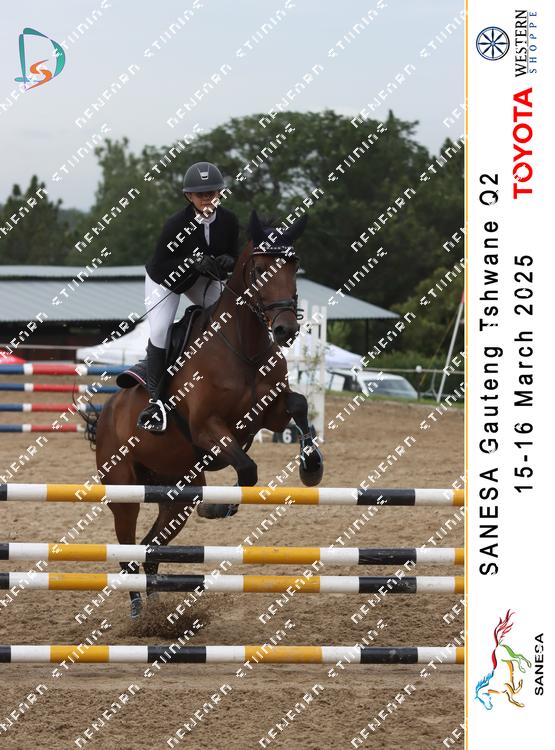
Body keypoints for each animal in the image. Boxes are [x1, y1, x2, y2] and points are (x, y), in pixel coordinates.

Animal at [87, 210, 324, 617]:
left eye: (294, 266)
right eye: (260, 268)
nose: (285, 329)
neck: (244, 347)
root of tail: (105, 415)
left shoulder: (269, 415)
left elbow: (298, 405)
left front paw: (312, 466)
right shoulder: (207, 429)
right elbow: (247, 469)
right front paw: (217, 507)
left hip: (176, 497)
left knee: (150, 549)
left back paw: (157, 611)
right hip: (124, 492)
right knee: (128, 552)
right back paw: (138, 613)